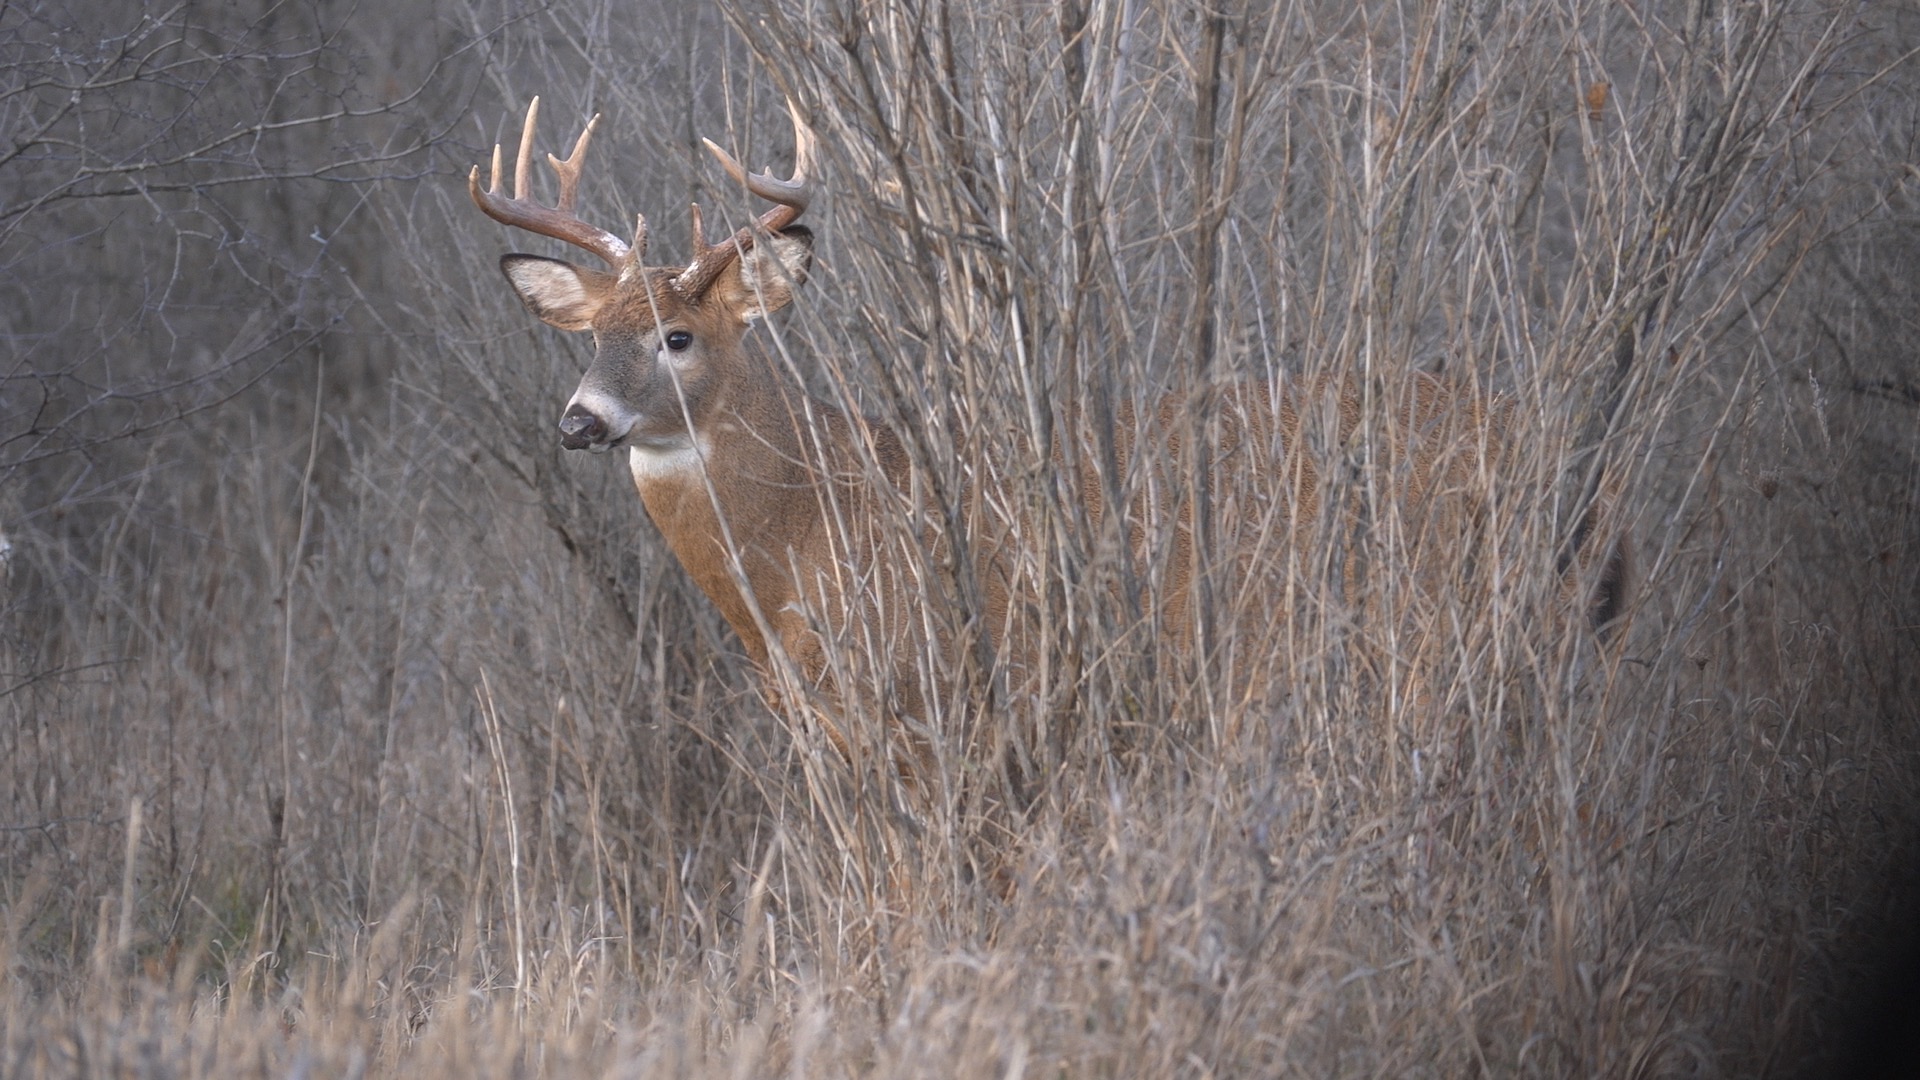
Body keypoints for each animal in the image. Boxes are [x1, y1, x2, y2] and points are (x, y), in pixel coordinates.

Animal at [469, 98, 1630, 763]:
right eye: (590, 337)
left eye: (677, 336)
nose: (578, 420)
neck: (808, 527)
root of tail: (1562, 454)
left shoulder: (933, 691)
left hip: (1433, 626)